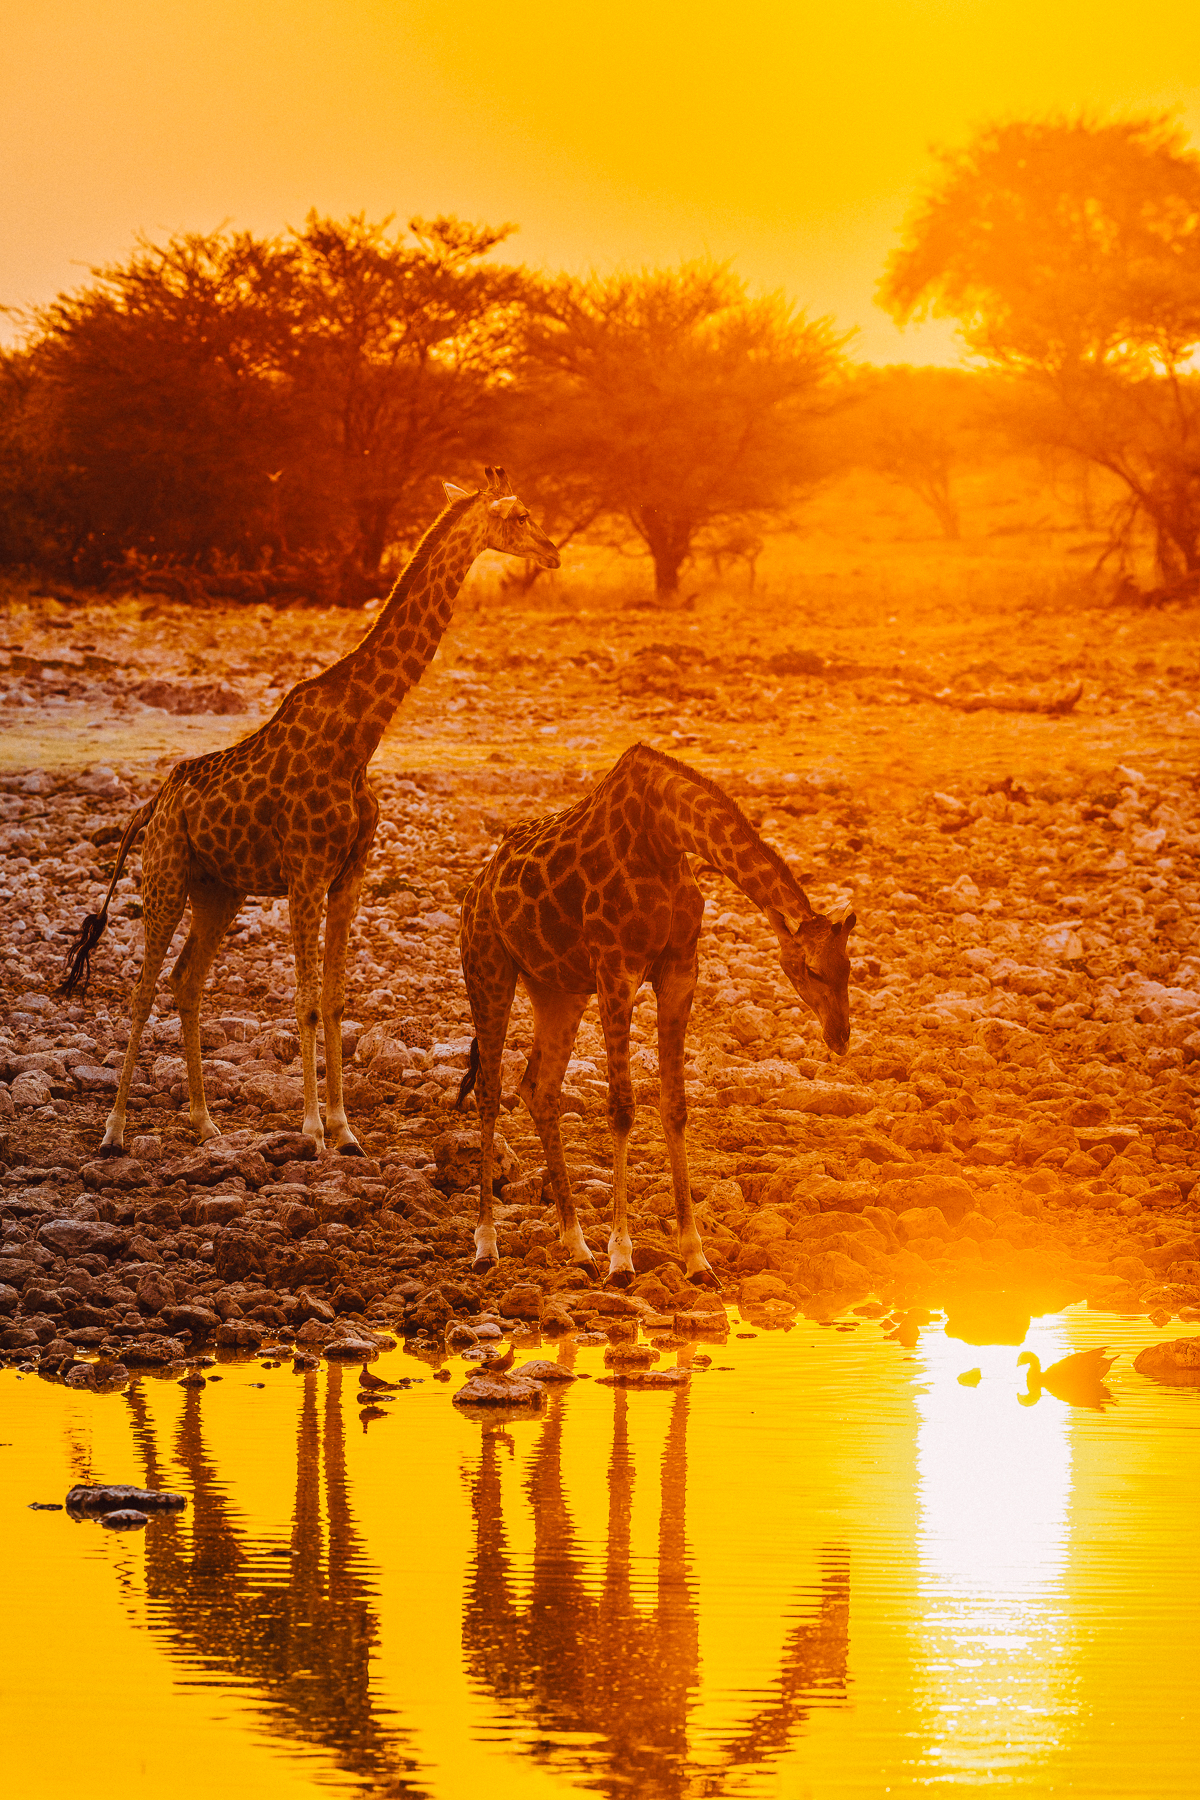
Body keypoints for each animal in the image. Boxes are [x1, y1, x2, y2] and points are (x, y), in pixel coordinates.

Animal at [59, 469, 559, 1157]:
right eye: (518, 515)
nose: (554, 552)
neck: (360, 737)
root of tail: (151, 806)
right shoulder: (304, 872)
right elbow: (305, 1001)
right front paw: (312, 1130)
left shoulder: (349, 875)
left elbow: (338, 1000)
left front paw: (347, 1131)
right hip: (166, 875)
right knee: (143, 987)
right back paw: (113, 1130)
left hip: (219, 890)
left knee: (186, 980)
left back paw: (204, 1121)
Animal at [457, 742, 856, 1284]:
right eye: (812, 969)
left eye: (849, 969)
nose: (840, 1036)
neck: (665, 836)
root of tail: (476, 888)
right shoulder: (616, 968)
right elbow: (622, 1109)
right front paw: (622, 1258)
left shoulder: (680, 969)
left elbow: (675, 1106)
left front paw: (695, 1257)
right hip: (488, 967)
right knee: (490, 1089)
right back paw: (487, 1245)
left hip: (556, 989)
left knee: (539, 1089)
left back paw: (576, 1246)